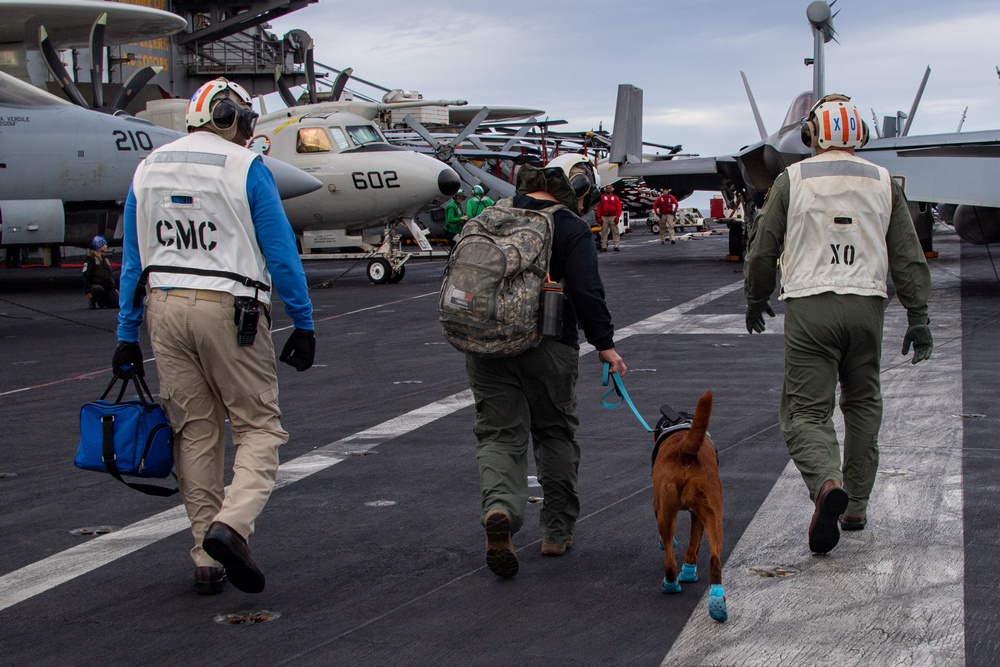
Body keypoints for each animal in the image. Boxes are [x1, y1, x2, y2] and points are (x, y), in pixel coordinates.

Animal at [648, 388, 728, 624]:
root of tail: (685, 450)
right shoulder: (697, 516)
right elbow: (694, 546)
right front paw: (690, 570)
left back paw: (671, 584)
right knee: (714, 561)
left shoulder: (659, 507)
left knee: (669, 561)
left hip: (666, 514)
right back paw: (717, 603)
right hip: (713, 517)